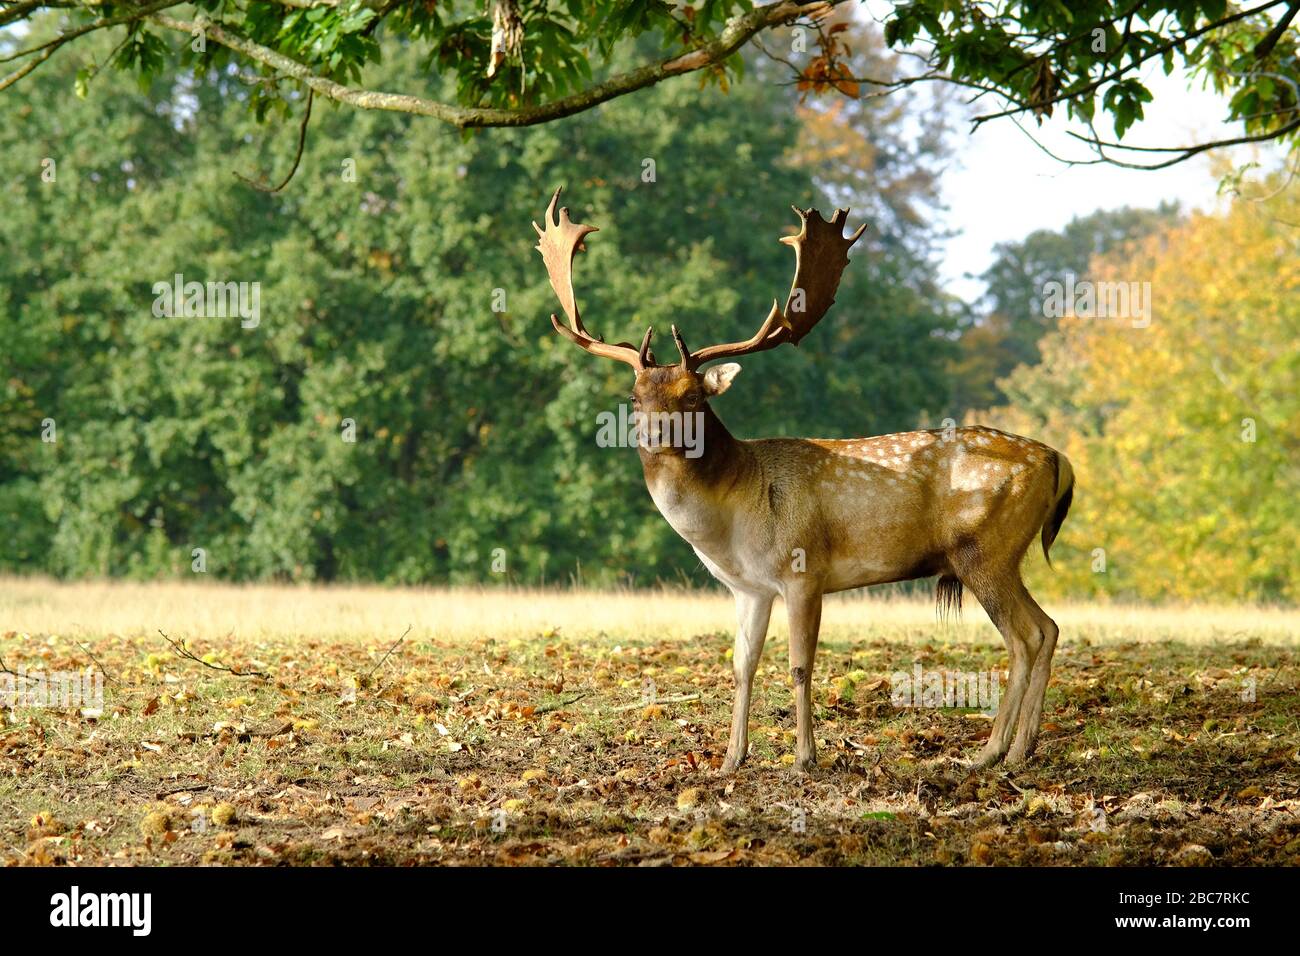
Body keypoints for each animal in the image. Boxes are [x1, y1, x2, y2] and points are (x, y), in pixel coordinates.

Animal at [532, 187, 1074, 773]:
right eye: (635, 398)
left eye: (693, 396)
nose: (655, 434)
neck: (733, 517)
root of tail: (1057, 460)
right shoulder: (748, 588)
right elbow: (741, 665)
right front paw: (732, 758)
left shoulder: (803, 569)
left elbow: (798, 665)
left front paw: (805, 757)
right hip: (999, 555)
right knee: (1048, 628)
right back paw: (1020, 747)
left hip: (984, 549)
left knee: (1025, 636)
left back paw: (995, 752)